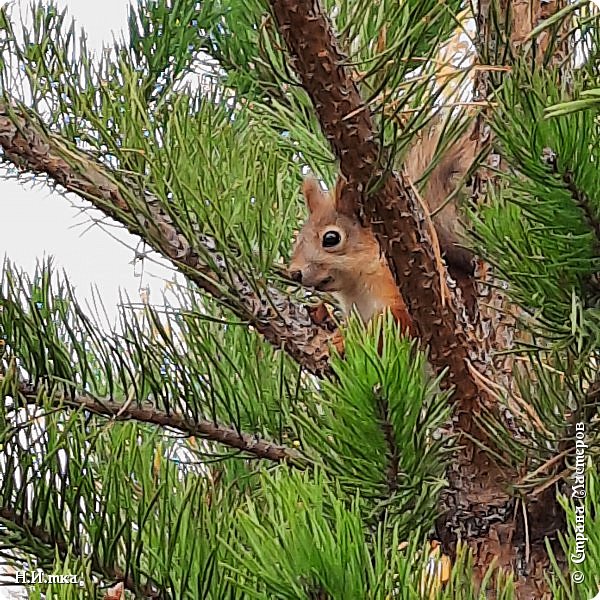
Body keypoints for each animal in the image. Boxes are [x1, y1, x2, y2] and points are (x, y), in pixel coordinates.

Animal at [288, 121, 478, 332]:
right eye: (297, 239)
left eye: (331, 238)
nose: (294, 273)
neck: (356, 289)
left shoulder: (395, 293)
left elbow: (392, 320)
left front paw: (341, 337)